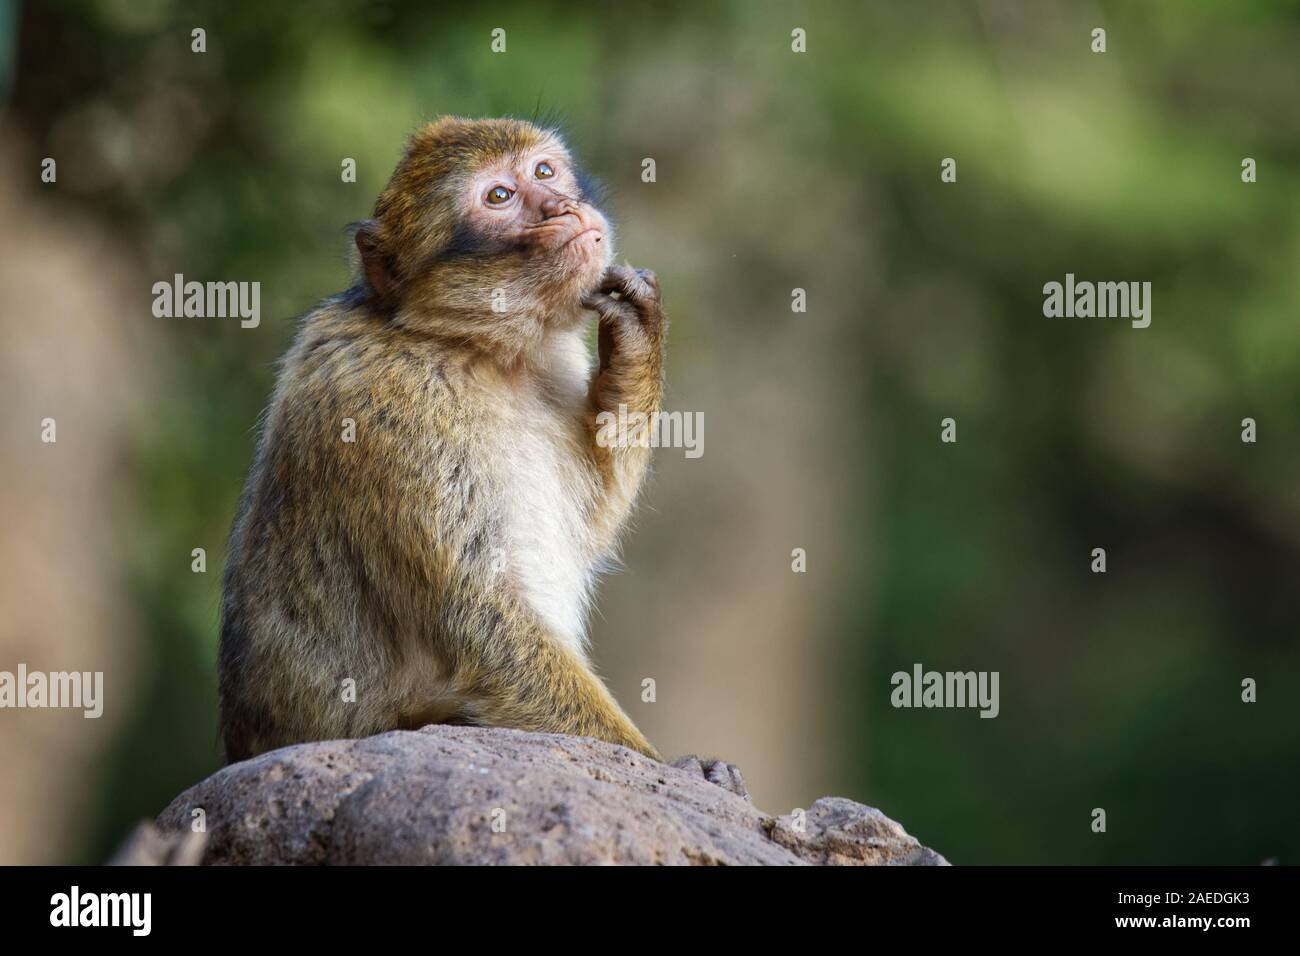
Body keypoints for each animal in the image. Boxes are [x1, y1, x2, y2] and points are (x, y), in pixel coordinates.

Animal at [218, 116, 670, 765]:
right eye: (499, 196)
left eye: (544, 172)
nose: (563, 207)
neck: (471, 350)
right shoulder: (388, 411)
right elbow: (483, 630)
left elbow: (595, 518)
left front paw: (636, 335)